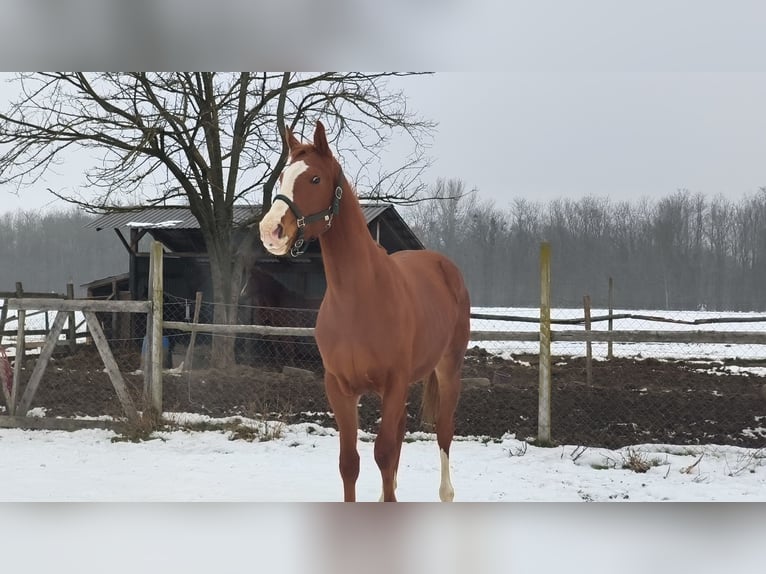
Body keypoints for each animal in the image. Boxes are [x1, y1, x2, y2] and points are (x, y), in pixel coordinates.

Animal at [259, 121, 471, 501]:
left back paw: (446, 492)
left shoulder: (394, 382)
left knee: (444, 430)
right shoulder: (340, 389)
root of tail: (444, 266)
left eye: (314, 179)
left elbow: (383, 454)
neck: (358, 300)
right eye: (282, 176)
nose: (271, 231)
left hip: (448, 369)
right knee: (401, 431)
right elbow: (350, 462)